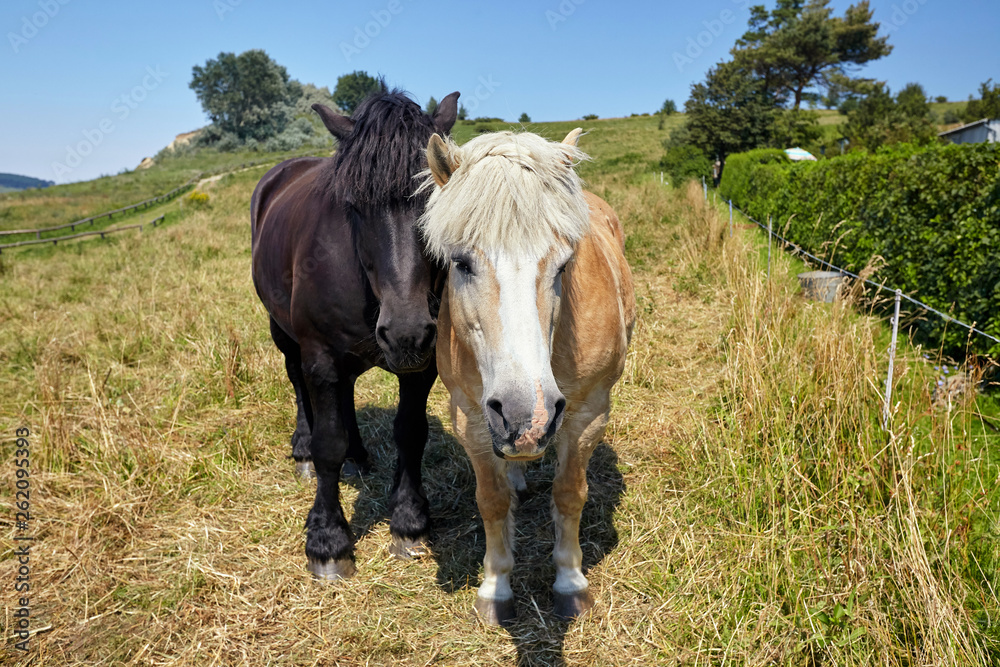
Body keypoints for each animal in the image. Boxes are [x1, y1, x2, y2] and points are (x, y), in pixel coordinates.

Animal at [250, 87, 459, 580]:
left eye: (435, 199)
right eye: (354, 206)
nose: (405, 331)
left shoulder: (422, 364)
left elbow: (411, 431)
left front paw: (409, 519)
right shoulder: (320, 355)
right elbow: (328, 443)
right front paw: (327, 539)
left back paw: (360, 457)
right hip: (284, 334)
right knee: (299, 386)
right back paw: (303, 451)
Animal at [418, 129, 636, 624]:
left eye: (563, 264)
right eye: (460, 262)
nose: (527, 417)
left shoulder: (588, 413)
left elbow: (569, 493)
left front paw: (570, 583)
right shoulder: (470, 417)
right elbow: (492, 500)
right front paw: (495, 588)